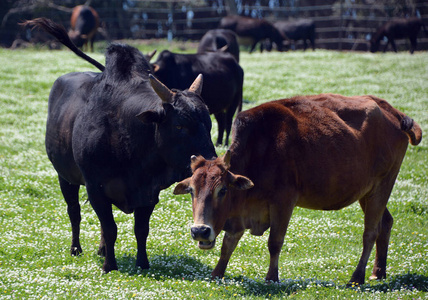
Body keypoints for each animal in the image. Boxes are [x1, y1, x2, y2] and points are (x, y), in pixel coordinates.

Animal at [23, 17, 216, 274]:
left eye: (209, 124)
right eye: (180, 126)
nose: (211, 162)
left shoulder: (149, 192)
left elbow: (140, 230)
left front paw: (142, 263)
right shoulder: (95, 188)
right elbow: (110, 228)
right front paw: (109, 265)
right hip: (64, 176)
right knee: (74, 212)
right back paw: (76, 249)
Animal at [174, 93, 422, 284]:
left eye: (222, 190)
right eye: (192, 191)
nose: (199, 231)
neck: (260, 150)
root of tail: (393, 112)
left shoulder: (284, 201)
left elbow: (274, 242)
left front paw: (271, 277)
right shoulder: (239, 217)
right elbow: (228, 243)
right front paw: (217, 273)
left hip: (383, 185)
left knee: (370, 232)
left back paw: (357, 276)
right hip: (368, 192)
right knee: (386, 223)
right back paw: (378, 272)